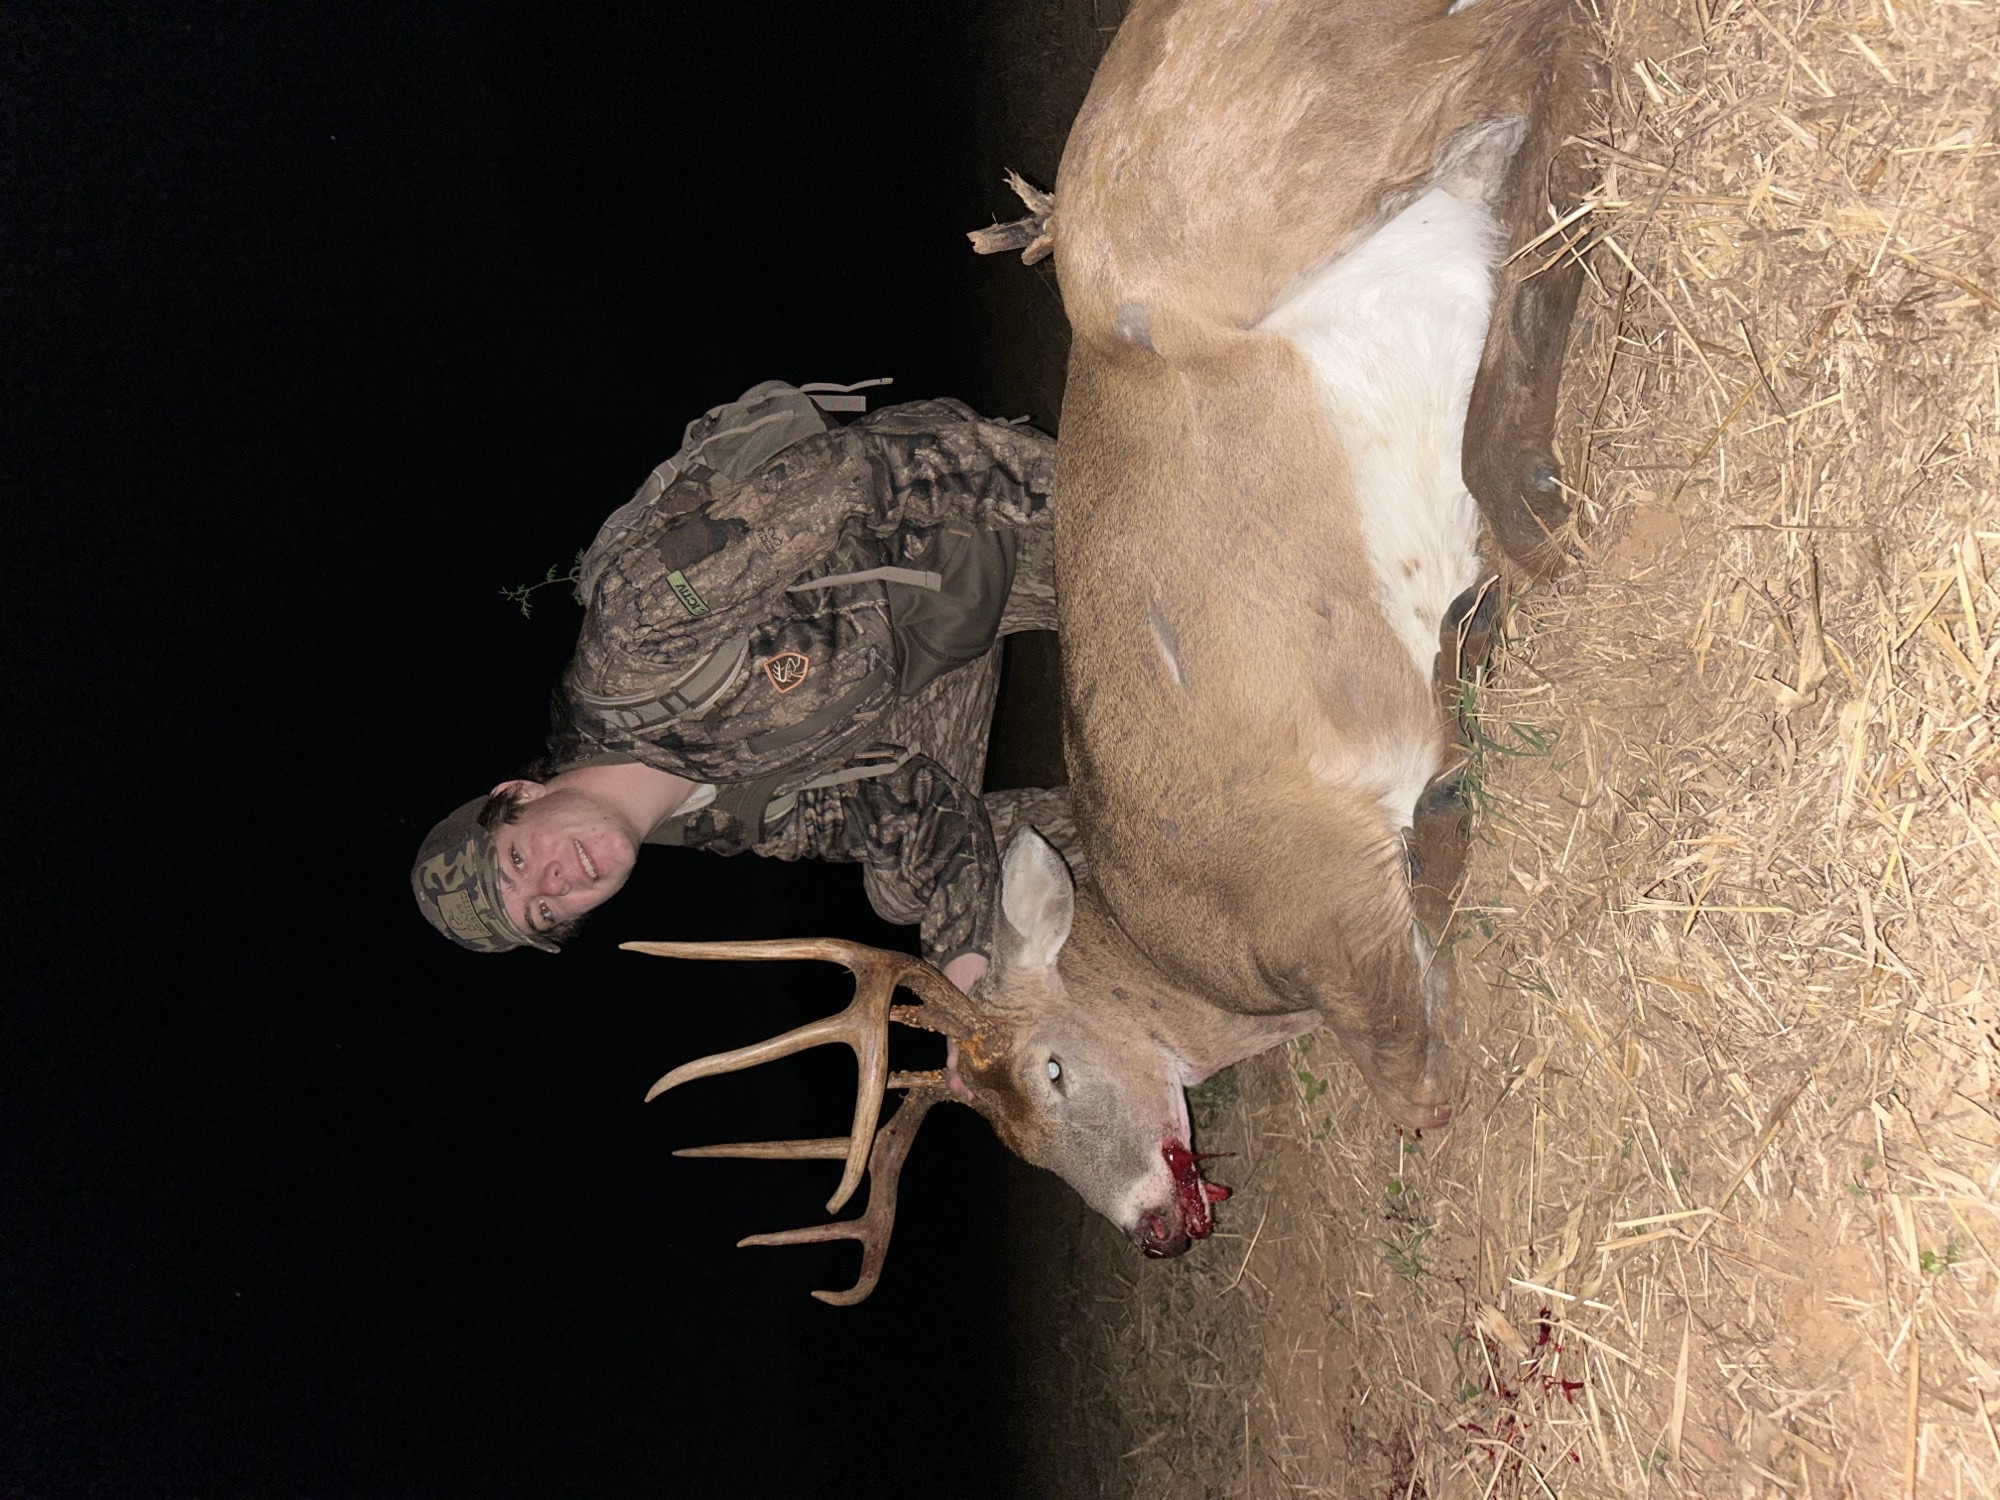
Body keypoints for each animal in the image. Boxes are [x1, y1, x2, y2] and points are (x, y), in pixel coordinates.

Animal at [629, 0, 1600, 1302]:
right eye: (1014, 1147)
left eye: (1051, 1067)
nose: (1151, 1226)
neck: (1185, 962)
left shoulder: (1324, 902)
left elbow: (1423, 1085)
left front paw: (1450, 743)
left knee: (1548, 88)